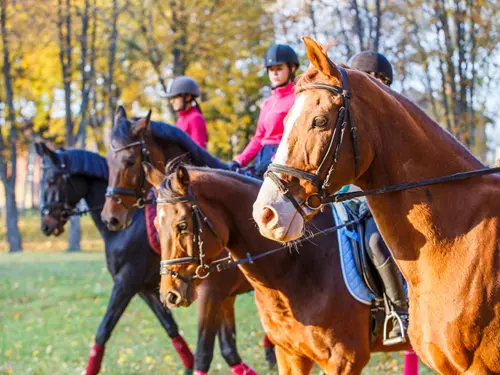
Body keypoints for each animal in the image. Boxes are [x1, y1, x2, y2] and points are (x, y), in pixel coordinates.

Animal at [36, 142, 193, 374]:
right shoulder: (146, 289)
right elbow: (170, 327)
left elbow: (103, 330)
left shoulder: (125, 283)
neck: (129, 225)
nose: (45, 226)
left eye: (51, 180)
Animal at [100, 107, 270, 374]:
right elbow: (227, 348)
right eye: (108, 161)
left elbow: (205, 353)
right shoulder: (219, 296)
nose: (111, 217)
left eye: (129, 161)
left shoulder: (211, 294)